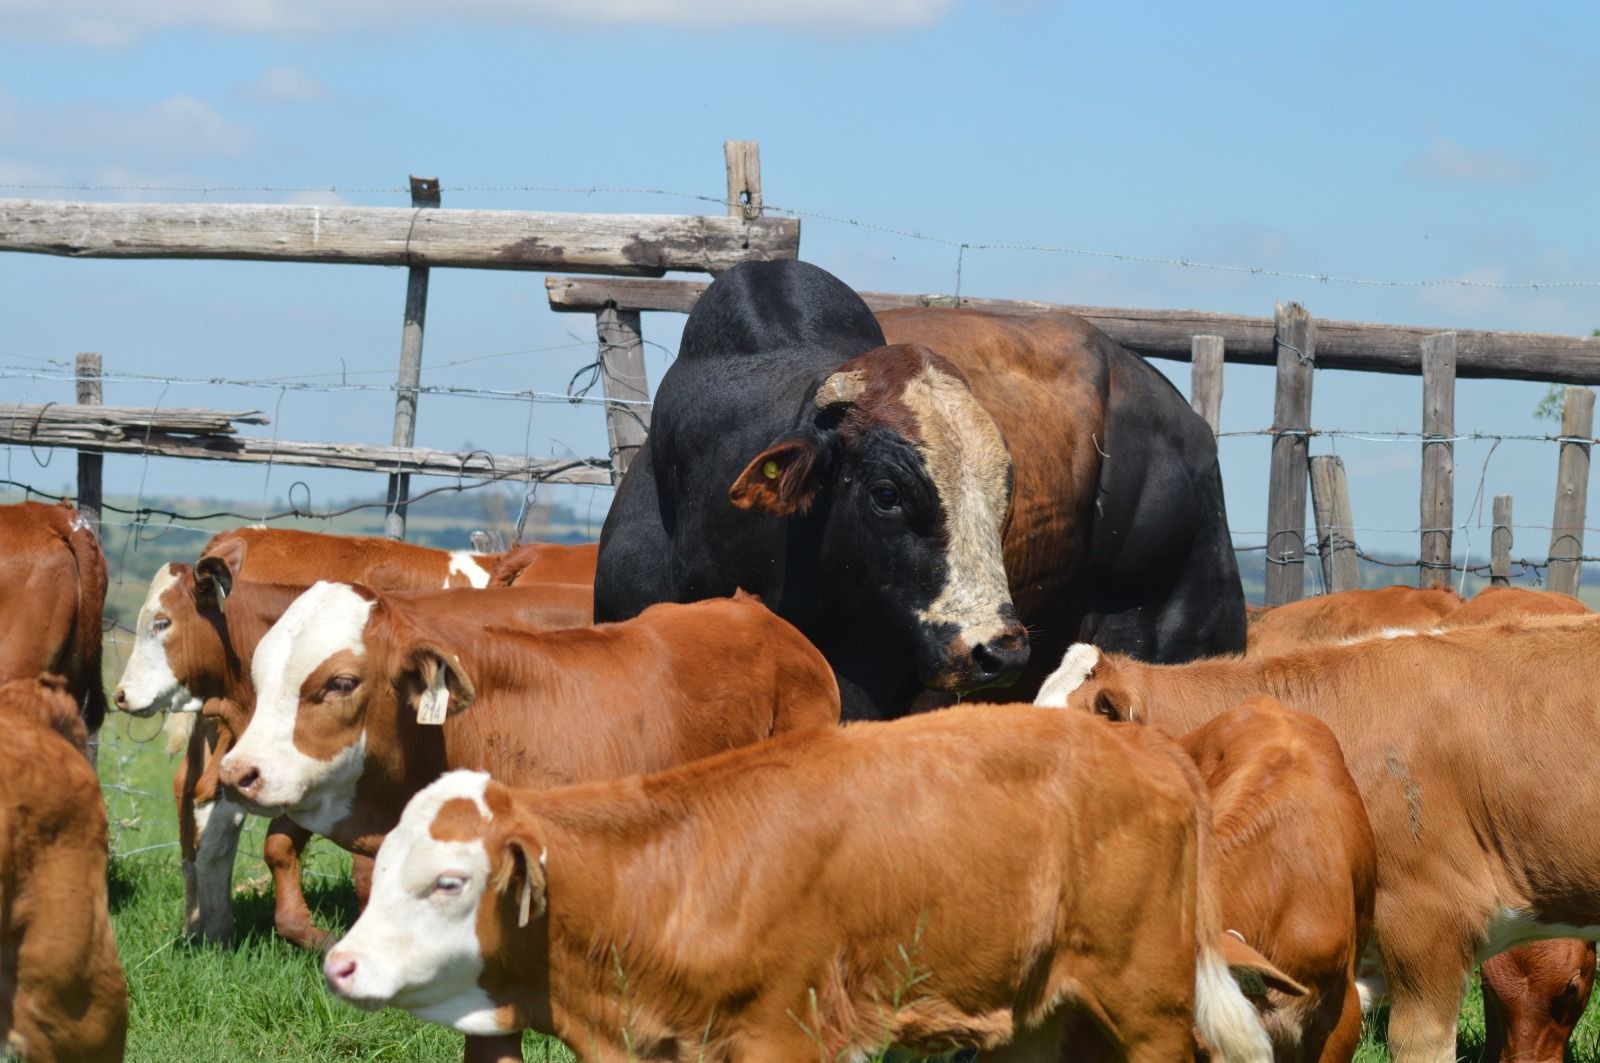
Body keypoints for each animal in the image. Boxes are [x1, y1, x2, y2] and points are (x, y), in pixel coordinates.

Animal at [324, 706, 1299, 1062]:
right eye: (382, 866)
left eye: (449, 881)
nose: (338, 965)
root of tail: (1150, 744)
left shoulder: (782, 1038)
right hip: (1037, 1014)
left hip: (1149, 1007)